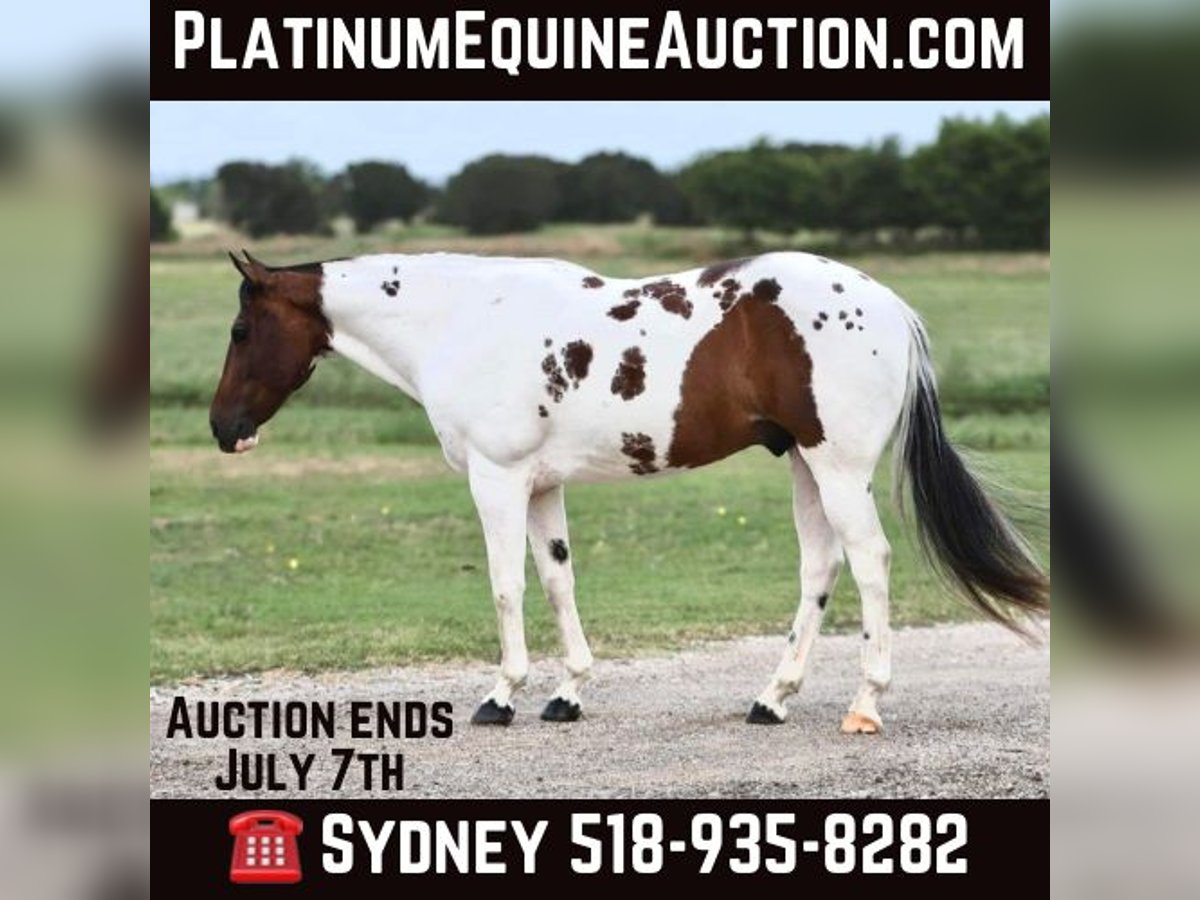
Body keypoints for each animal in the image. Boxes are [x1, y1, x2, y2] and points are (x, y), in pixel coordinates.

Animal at [210, 249, 1049, 733]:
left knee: (869, 562)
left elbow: (507, 586)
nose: (224, 428)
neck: (463, 319)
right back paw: (772, 698)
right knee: (821, 567)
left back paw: (864, 705)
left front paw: (502, 695)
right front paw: (568, 692)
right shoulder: (540, 486)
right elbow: (557, 581)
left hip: (837, 466)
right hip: (806, 467)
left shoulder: (497, 478)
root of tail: (891, 307)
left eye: (241, 331)